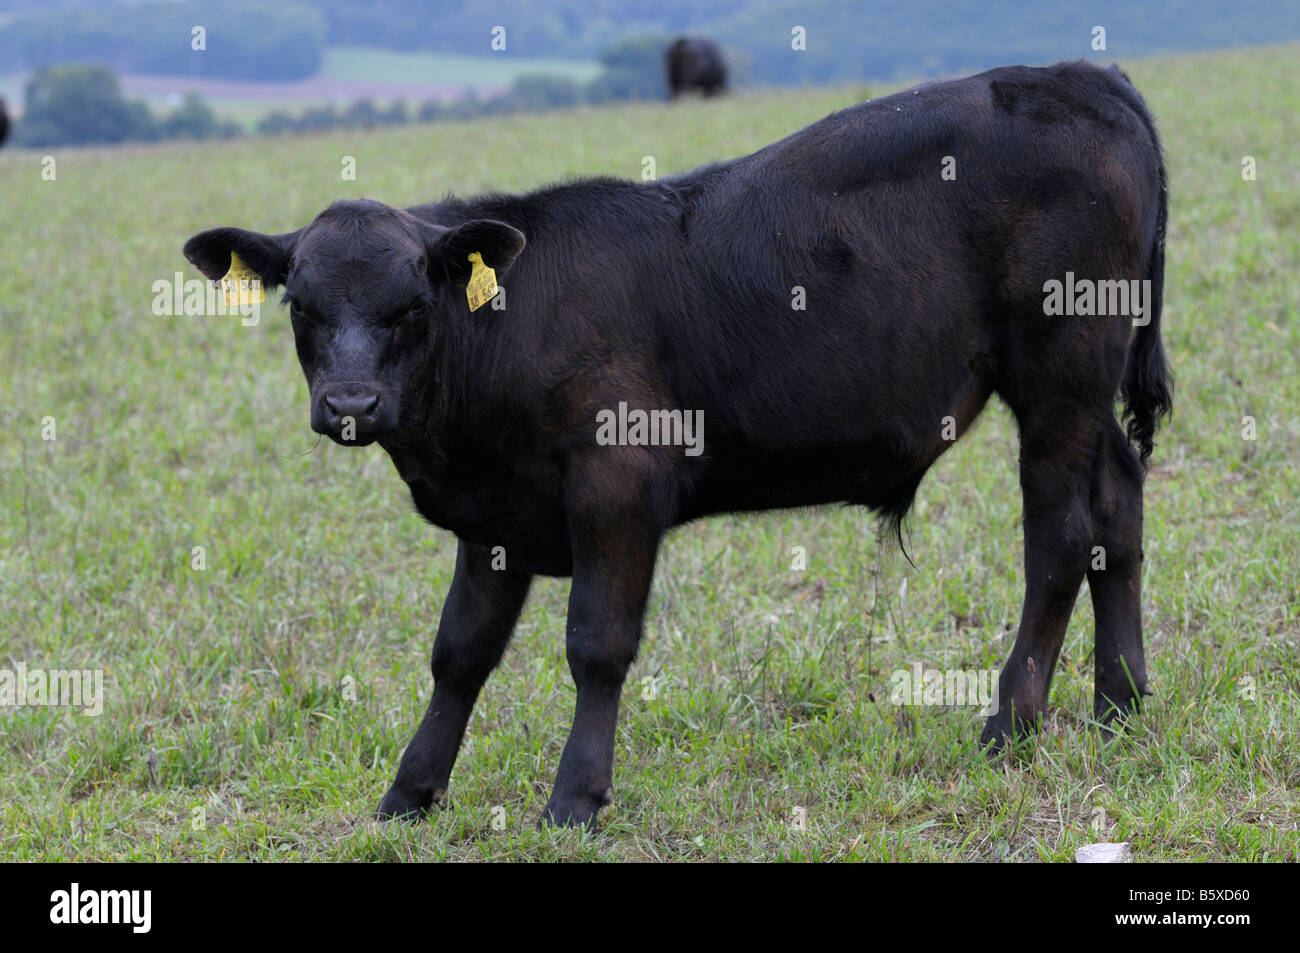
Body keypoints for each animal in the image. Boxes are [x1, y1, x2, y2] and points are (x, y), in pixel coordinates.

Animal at [183, 61, 1170, 826]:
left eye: (411, 306)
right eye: (303, 307)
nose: (351, 402)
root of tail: (1081, 75)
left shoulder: (617, 482)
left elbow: (596, 643)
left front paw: (575, 797)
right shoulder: (494, 517)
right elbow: (458, 653)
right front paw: (410, 793)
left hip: (1059, 378)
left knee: (1058, 541)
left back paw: (1012, 723)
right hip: (1089, 397)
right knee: (1118, 510)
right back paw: (1120, 704)